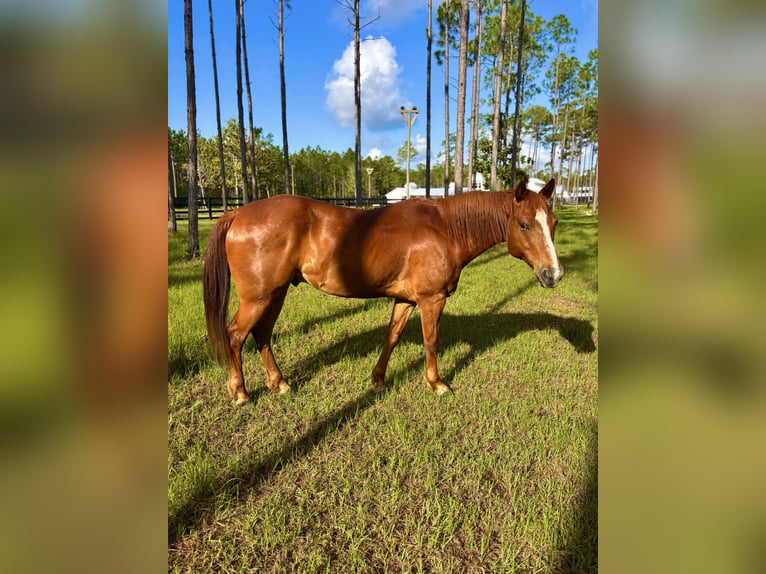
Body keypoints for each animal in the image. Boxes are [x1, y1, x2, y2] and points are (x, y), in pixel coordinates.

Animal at [203, 178, 562, 405]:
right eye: (524, 224)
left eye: (554, 223)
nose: (554, 274)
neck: (445, 228)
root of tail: (238, 212)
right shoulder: (431, 299)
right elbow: (431, 341)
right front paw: (436, 383)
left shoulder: (405, 299)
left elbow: (392, 336)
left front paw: (378, 379)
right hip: (258, 298)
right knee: (236, 335)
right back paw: (240, 392)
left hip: (276, 294)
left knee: (262, 334)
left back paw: (279, 383)